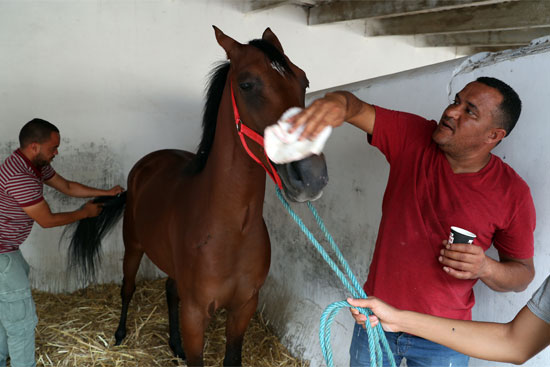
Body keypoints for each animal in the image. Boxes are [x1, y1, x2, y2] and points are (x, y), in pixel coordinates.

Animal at [67, 26, 330, 367]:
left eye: (304, 81)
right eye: (247, 84)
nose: (311, 175)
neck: (232, 230)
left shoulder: (244, 308)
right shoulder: (195, 314)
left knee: (170, 290)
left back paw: (174, 343)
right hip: (133, 246)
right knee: (128, 287)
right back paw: (121, 333)